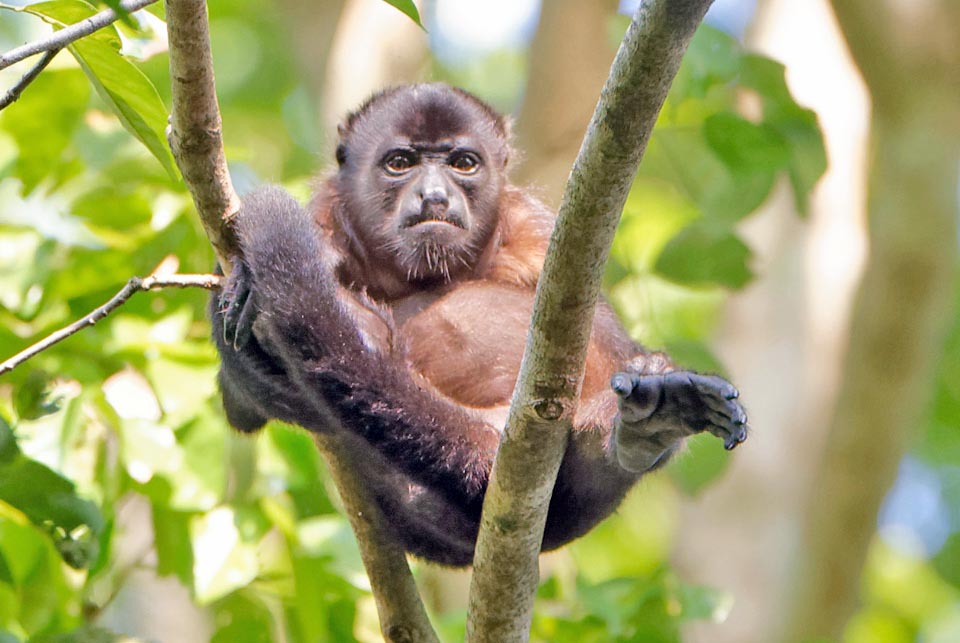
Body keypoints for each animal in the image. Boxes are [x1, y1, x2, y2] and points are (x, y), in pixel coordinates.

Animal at [212, 83, 752, 568]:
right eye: (400, 162)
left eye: (463, 163)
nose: (433, 196)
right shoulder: (325, 214)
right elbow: (240, 403)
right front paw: (249, 290)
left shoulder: (532, 223)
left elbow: (603, 329)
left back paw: (648, 423)